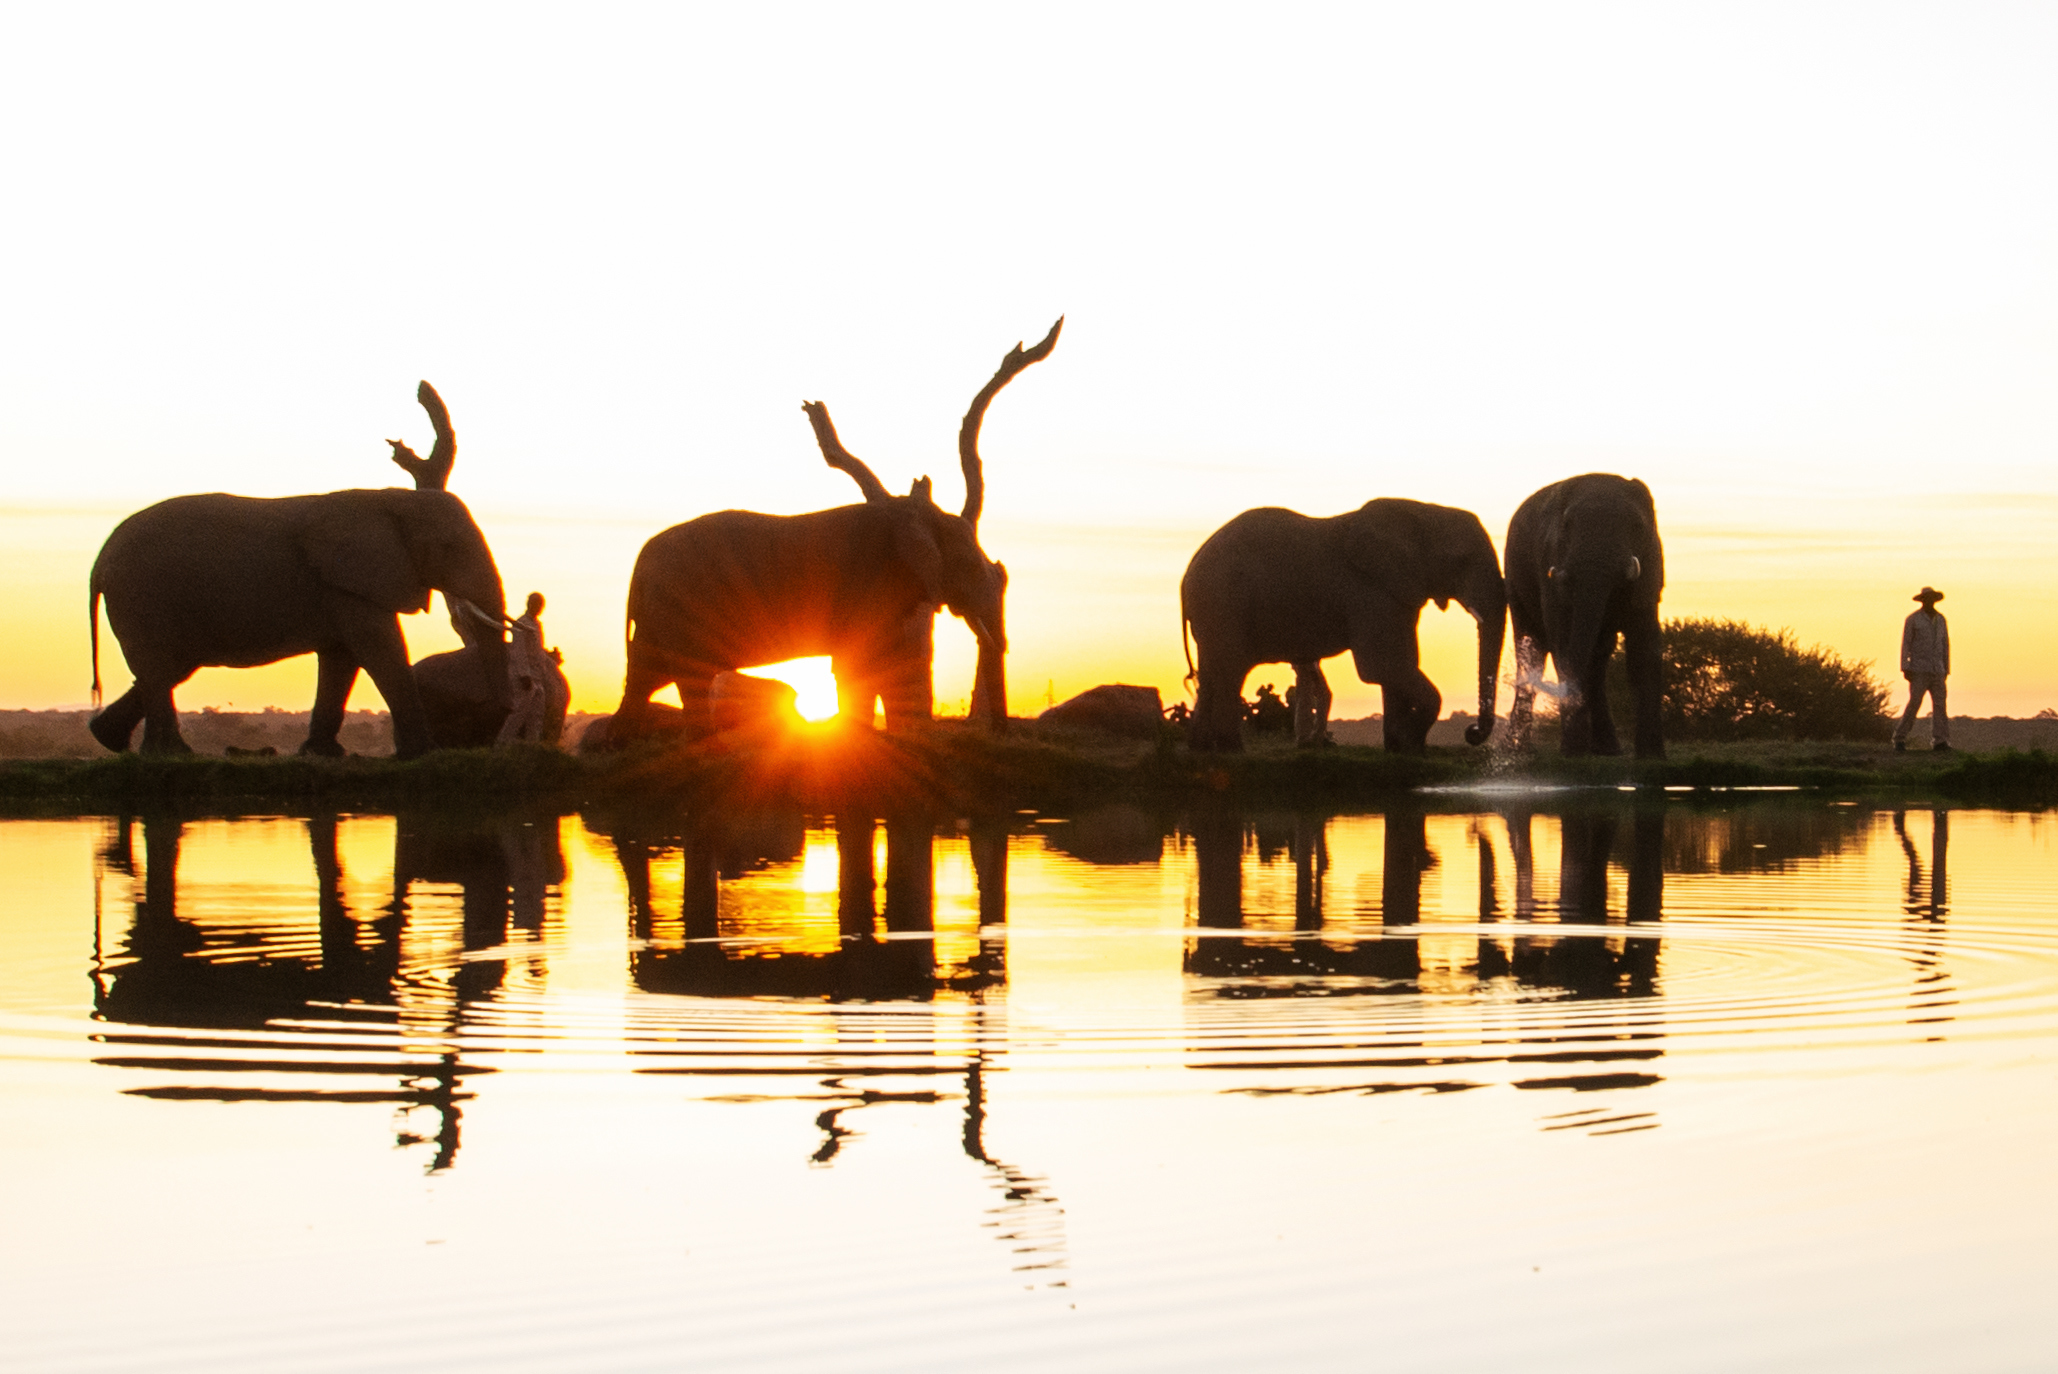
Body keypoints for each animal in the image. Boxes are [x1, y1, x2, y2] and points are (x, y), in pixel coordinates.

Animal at [87, 382, 509, 758]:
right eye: (449, 548)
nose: (492, 724)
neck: (392, 500)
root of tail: (99, 561)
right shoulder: (347, 583)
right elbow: (379, 647)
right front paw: (422, 755)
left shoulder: (343, 588)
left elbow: (343, 657)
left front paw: (324, 754)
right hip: (141, 593)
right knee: (160, 665)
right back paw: (170, 754)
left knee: (171, 665)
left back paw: (109, 739)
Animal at [603, 320, 1060, 744]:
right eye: (968, 564)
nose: (999, 732)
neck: (916, 515)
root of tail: (637, 566)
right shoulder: (871, 584)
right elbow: (861, 667)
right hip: (678, 609)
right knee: (683, 678)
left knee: (645, 676)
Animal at [1180, 498, 1507, 754]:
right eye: (1462, 561)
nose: (1471, 731)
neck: (1422, 511)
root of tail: (1186, 578)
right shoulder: (1368, 591)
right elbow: (1383, 666)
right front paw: (1412, 743)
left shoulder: (1397, 592)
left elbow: (1398, 665)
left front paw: (1399, 749)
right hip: (1223, 602)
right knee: (1230, 670)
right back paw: (1231, 750)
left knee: (1212, 672)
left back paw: (1201, 749)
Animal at [1504, 472, 1665, 758]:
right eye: (1567, 525)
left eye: (1637, 526)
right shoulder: (1550, 560)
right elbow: (1562, 639)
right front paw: (1572, 752)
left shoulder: (1651, 564)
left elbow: (1644, 647)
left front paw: (1652, 758)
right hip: (1513, 578)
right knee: (1531, 650)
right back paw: (1518, 750)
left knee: (1598, 661)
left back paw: (1607, 750)